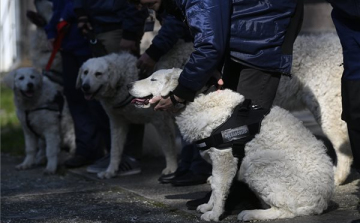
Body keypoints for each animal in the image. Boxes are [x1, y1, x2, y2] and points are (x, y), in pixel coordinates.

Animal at [127, 69, 334, 222]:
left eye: (153, 79)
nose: (128, 85)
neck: (197, 100)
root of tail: (322, 201)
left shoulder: (224, 157)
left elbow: (219, 188)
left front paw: (214, 214)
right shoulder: (217, 160)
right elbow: (215, 185)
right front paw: (209, 206)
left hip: (257, 164)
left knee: (286, 210)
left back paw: (252, 214)